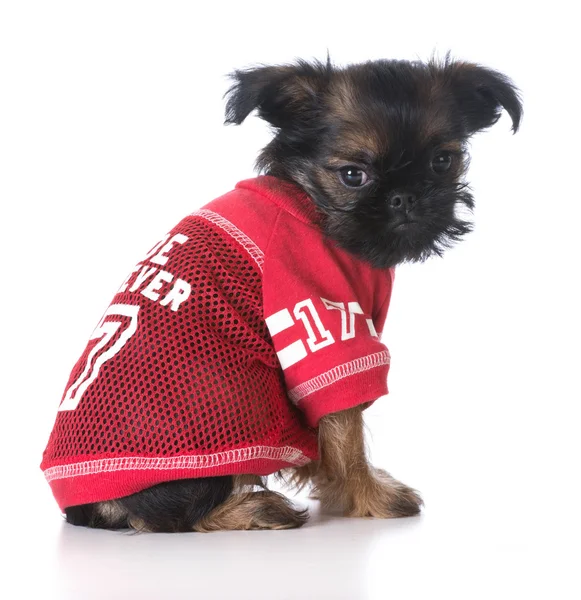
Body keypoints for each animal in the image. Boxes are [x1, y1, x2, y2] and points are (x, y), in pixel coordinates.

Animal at [40, 57, 520, 536]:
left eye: (442, 162)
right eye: (353, 175)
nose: (406, 197)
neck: (312, 203)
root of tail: (86, 506)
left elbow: (336, 435)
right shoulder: (322, 321)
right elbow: (347, 427)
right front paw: (368, 496)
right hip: (228, 403)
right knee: (176, 516)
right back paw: (255, 508)